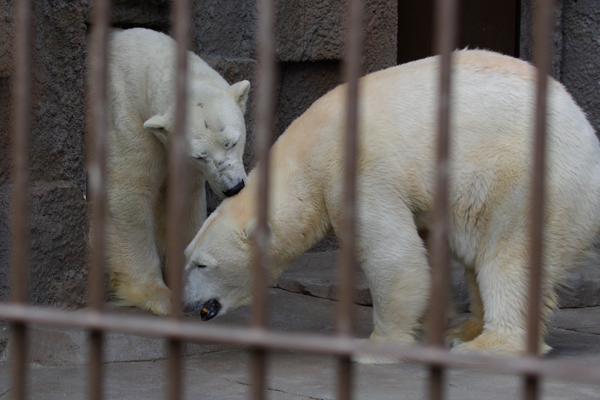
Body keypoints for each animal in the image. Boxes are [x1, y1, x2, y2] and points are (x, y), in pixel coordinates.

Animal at [85, 28, 250, 316]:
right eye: (200, 155)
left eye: (231, 141)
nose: (233, 187)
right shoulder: (124, 119)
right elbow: (129, 192)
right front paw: (157, 294)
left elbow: (182, 201)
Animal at [182, 49, 600, 360]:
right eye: (188, 257)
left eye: (203, 264)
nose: (187, 304)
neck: (307, 155)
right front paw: (435, 318)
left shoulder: (357, 169)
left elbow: (394, 256)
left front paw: (376, 345)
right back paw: (463, 328)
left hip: (528, 178)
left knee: (510, 256)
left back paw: (486, 345)